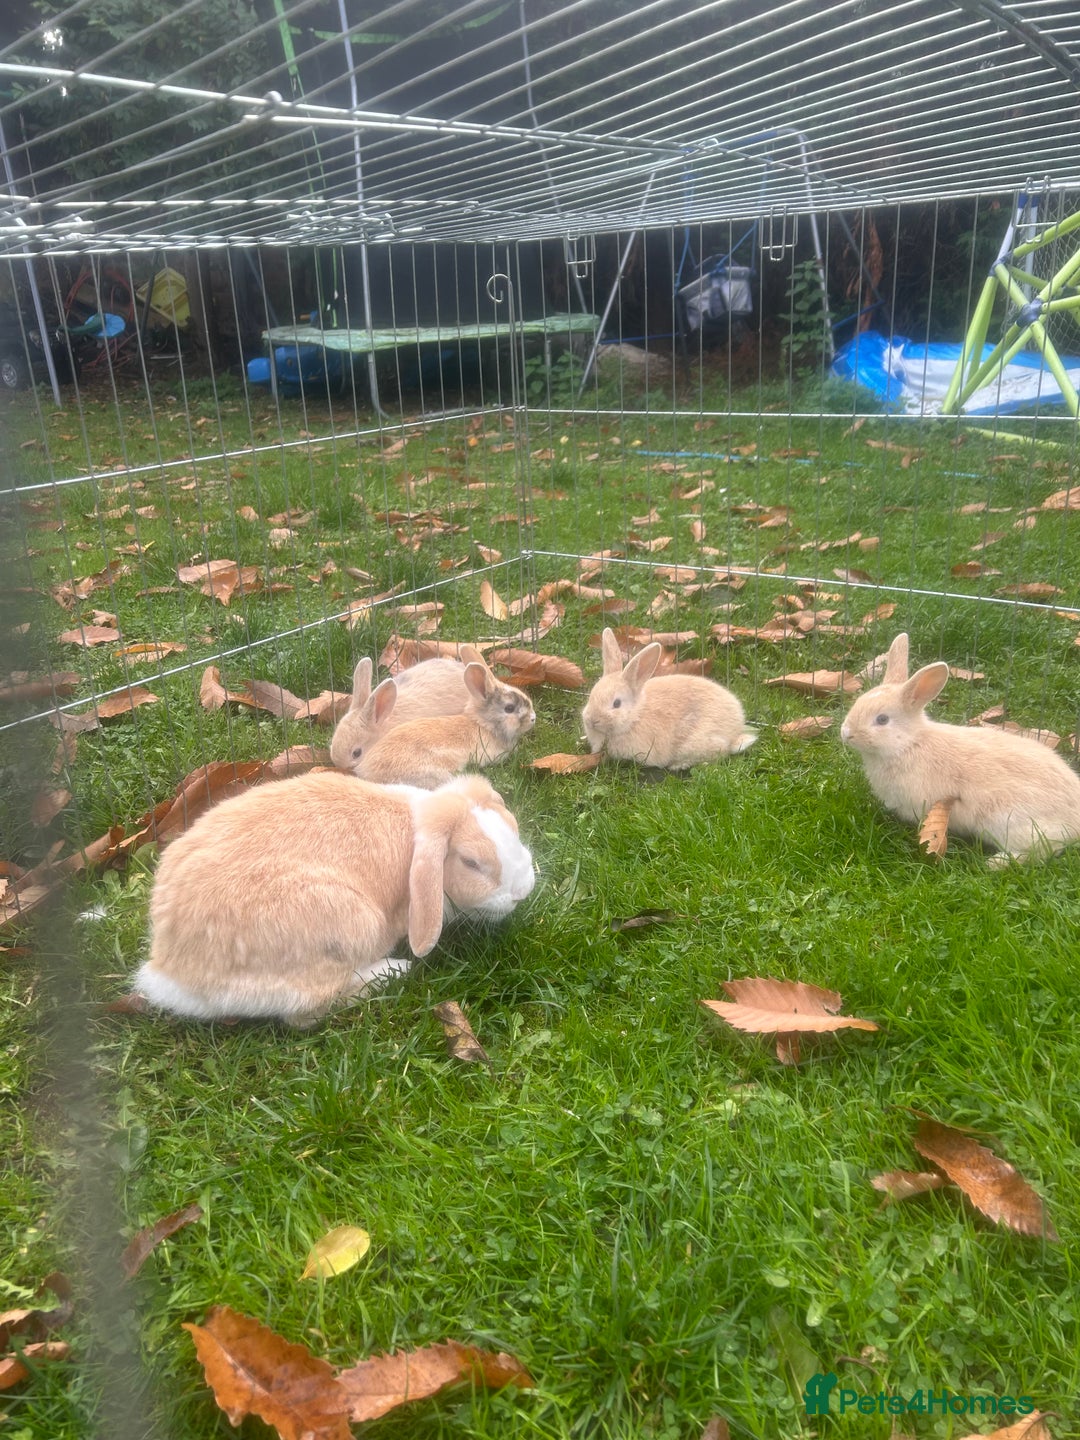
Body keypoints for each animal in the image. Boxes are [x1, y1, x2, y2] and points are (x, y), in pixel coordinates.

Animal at [134, 771, 536, 1025]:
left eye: (514, 827)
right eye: (471, 863)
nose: (522, 892)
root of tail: (170, 971)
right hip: (352, 925)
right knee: (304, 1014)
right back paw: (393, 970)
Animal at [581, 628, 756, 769]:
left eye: (616, 703)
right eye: (591, 695)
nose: (591, 720)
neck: (636, 716)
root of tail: (735, 733)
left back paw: (679, 765)